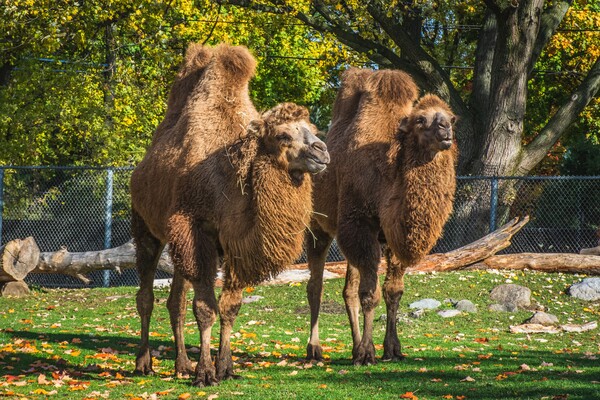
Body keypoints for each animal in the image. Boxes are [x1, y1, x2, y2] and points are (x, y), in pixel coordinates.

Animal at [129, 42, 330, 386]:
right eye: (283, 136)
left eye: (312, 130)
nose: (322, 151)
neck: (228, 181)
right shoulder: (196, 229)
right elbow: (205, 308)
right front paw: (206, 373)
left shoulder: (236, 241)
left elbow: (230, 307)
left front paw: (225, 367)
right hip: (146, 227)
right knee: (146, 296)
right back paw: (144, 363)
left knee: (175, 300)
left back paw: (181, 365)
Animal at [308, 68, 458, 366]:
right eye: (421, 119)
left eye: (450, 116)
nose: (445, 129)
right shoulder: (360, 224)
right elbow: (370, 295)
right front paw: (368, 353)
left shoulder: (389, 237)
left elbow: (392, 292)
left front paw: (392, 349)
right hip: (318, 225)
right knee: (315, 285)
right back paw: (315, 350)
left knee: (348, 290)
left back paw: (353, 348)